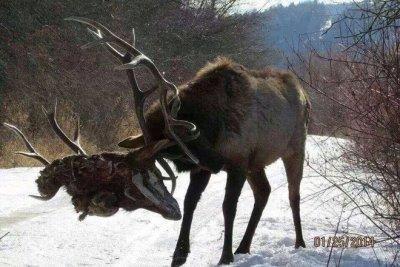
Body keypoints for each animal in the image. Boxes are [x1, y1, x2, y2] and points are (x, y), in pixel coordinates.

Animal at [3, 17, 310, 266]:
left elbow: (228, 207)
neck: (208, 129)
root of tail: (304, 93)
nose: (215, 162)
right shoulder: (206, 166)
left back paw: (299, 243)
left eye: (137, 178)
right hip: (257, 163)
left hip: (295, 147)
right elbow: (190, 202)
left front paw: (224, 257)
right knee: (264, 192)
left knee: (293, 194)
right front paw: (179, 255)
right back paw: (244, 247)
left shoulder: (236, 161)